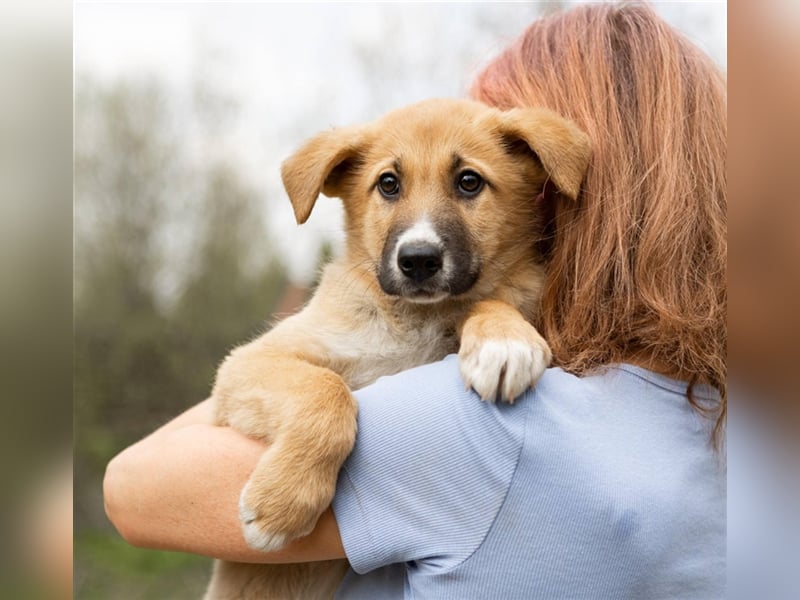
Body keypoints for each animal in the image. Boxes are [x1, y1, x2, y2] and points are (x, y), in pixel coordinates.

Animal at [203, 96, 592, 596]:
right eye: (388, 184)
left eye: (469, 181)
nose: (418, 261)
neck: (420, 320)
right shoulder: (249, 363)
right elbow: (326, 391)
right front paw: (281, 504)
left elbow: (491, 300)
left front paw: (504, 341)